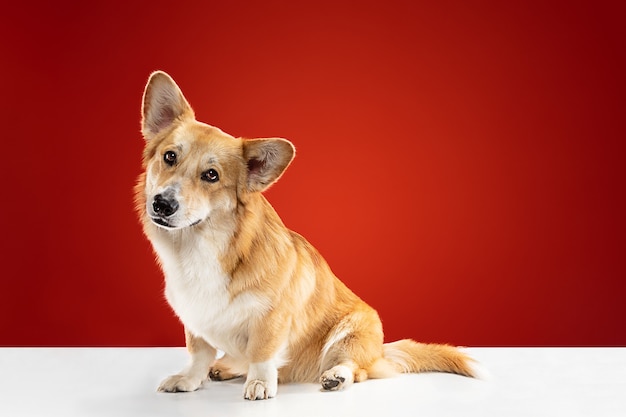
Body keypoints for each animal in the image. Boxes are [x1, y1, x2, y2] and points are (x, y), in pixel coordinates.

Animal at [133, 70, 472, 400]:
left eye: (211, 175)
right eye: (169, 157)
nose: (162, 204)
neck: (201, 245)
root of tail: (381, 353)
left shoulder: (272, 318)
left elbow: (262, 353)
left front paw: (260, 383)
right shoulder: (195, 319)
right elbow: (199, 354)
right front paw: (189, 380)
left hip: (353, 331)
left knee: (354, 367)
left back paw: (335, 376)